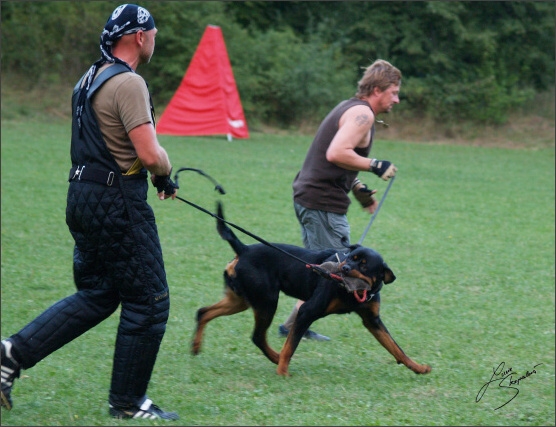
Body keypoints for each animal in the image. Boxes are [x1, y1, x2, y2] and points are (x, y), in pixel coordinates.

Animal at [191, 202, 430, 376]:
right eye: (349, 258)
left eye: (363, 264)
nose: (344, 268)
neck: (355, 292)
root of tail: (244, 249)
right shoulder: (307, 311)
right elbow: (291, 345)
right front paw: (283, 372)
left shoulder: (372, 320)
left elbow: (395, 347)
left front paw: (417, 367)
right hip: (267, 302)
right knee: (258, 337)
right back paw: (277, 359)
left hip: (241, 300)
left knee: (203, 312)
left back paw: (195, 346)